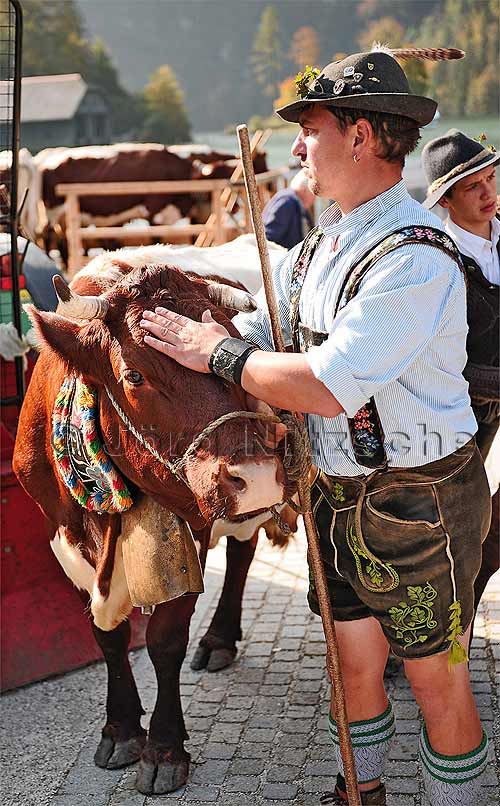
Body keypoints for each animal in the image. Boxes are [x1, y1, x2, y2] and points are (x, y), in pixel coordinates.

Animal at [11, 252, 294, 796]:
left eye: (233, 345)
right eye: (136, 375)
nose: (255, 475)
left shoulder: (192, 531)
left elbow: (164, 639)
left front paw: (163, 750)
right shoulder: (61, 536)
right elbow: (107, 637)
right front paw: (120, 730)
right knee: (244, 549)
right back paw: (220, 639)